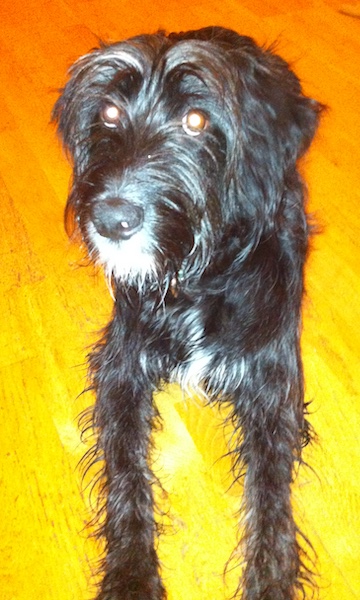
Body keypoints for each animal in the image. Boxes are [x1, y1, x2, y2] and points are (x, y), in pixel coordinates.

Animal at [52, 27, 320, 600]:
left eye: (196, 121)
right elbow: (127, 473)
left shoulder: (272, 388)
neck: (200, 279)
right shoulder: (122, 369)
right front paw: (131, 573)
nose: (111, 219)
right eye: (109, 112)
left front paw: (268, 578)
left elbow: (270, 496)